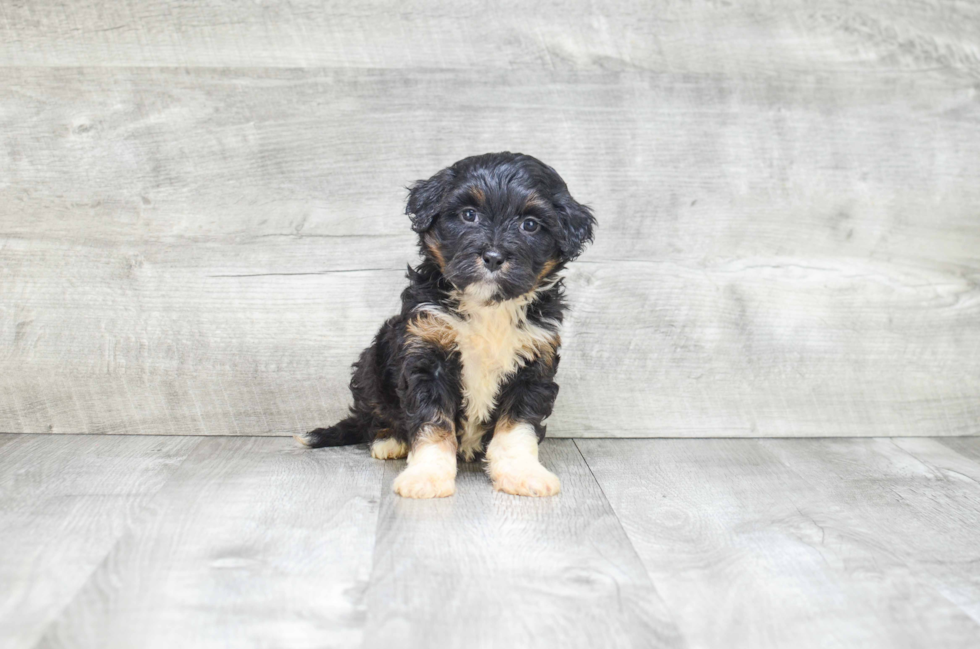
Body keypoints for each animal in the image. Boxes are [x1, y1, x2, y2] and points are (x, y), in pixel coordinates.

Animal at [294, 152, 592, 496]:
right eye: (468, 215)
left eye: (530, 225)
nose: (493, 256)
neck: (488, 306)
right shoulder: (426, 352)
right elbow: (432, 423)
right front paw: (427, 475)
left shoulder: (534, 361)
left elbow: (518, 427)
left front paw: (522, 472)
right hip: (372, 363)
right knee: (374, 413)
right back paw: (389, 440)